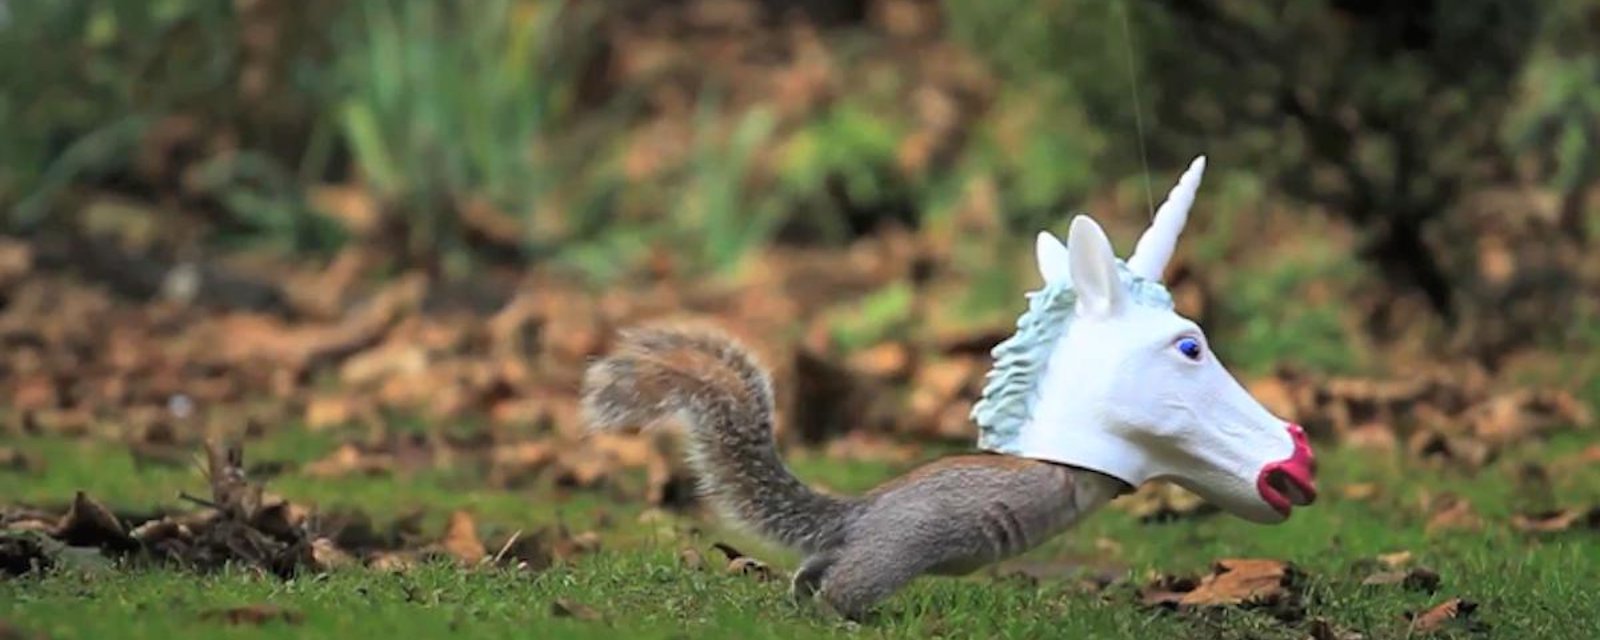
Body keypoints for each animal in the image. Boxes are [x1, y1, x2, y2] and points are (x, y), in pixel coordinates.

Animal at [582, 323, 1132, 617]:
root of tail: (859, 513)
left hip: (865, 550)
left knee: (820, 565)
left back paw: (800, 597)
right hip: (892, 555)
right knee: (845, 585)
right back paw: (840, 616)